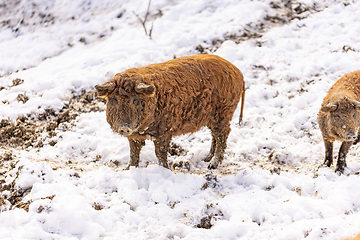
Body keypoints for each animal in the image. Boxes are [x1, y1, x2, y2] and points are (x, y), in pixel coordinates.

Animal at [95, 54, 246, 171]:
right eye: (114, 99)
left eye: (135, 100)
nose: (124, 127)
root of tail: (238, 72)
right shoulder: (134, 136)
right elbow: (133, 153)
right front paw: (128, 169)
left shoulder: (164, 132)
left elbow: (160, 153)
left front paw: (164, 170)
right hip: (213, 118)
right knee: (215, 135)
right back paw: (206, 159)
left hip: (223, 113)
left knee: (223, 136)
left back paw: (211, 166)